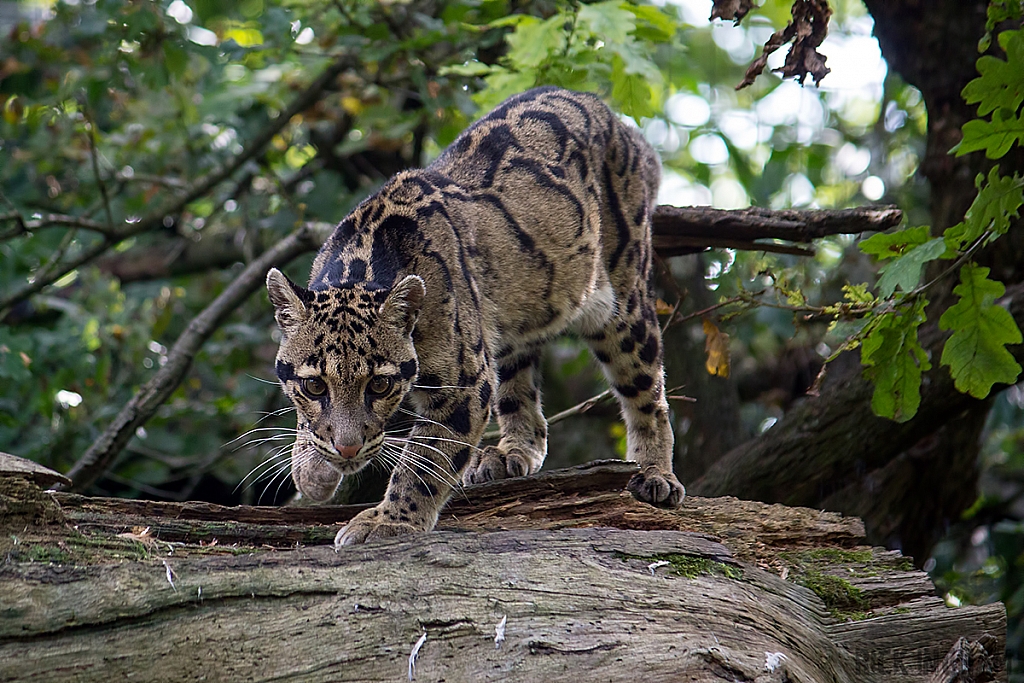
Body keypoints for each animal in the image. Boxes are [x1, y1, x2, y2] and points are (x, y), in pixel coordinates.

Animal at [268, 85, 684, 544]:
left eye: (379, 385)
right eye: (313, 386)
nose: (347, 448)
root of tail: (615, 120)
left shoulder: (463, 384)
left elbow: (427, 462)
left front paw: (389, 521)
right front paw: (311, 468)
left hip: (621, 302)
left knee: (648, 391)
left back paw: (655, 473)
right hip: (512, 319)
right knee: (524, 398)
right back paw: (511, 452)